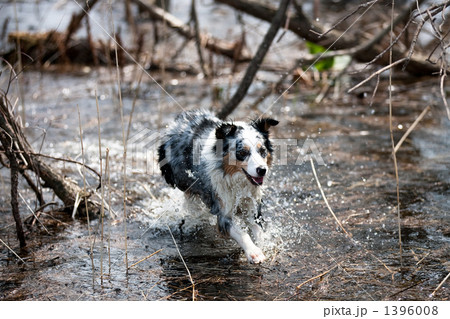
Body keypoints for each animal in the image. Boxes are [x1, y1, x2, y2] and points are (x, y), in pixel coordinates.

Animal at [158, 110, 278, 264]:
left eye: (262, 150)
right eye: (242, 153)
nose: (262, 170)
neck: (237, 180)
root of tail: (182, 117)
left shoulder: (251, 206)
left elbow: (258, 230)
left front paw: (262, 246)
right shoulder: (223, 212)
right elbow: (242, 233)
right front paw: (254, 252)